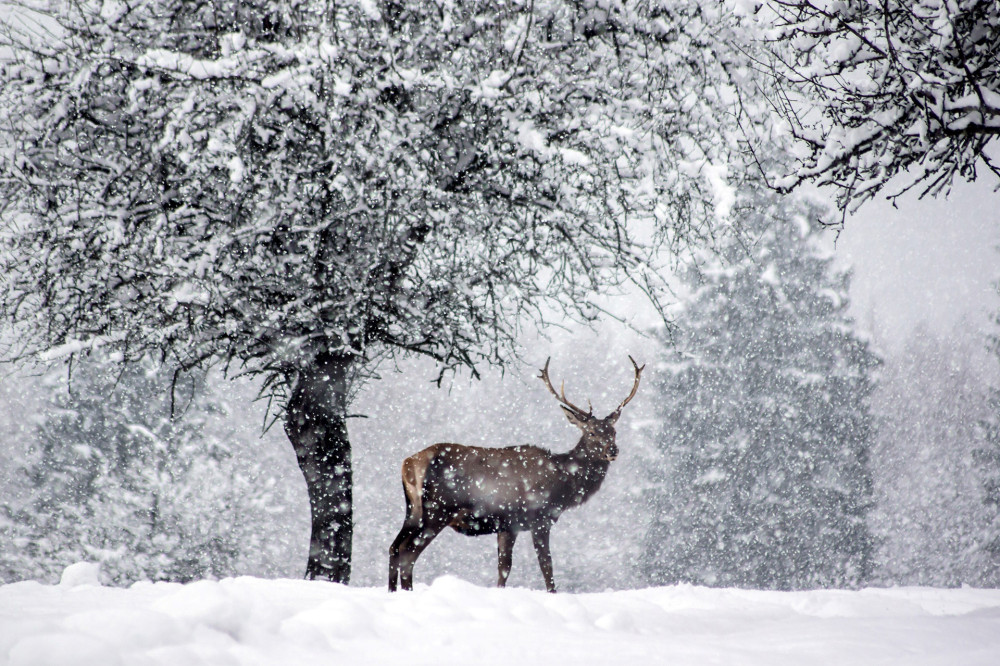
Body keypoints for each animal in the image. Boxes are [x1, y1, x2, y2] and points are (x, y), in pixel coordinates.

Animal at [386, 356, 644, 588]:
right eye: (591, 432)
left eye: (613, 431)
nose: (613, 450)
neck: (563, 485)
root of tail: (409, 463)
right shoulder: (539, 518)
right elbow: (546, 566)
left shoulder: (508, 525)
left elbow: (504, 568)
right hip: (437, 509)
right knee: (408, 552)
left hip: (413, 510)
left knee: (394, 547)